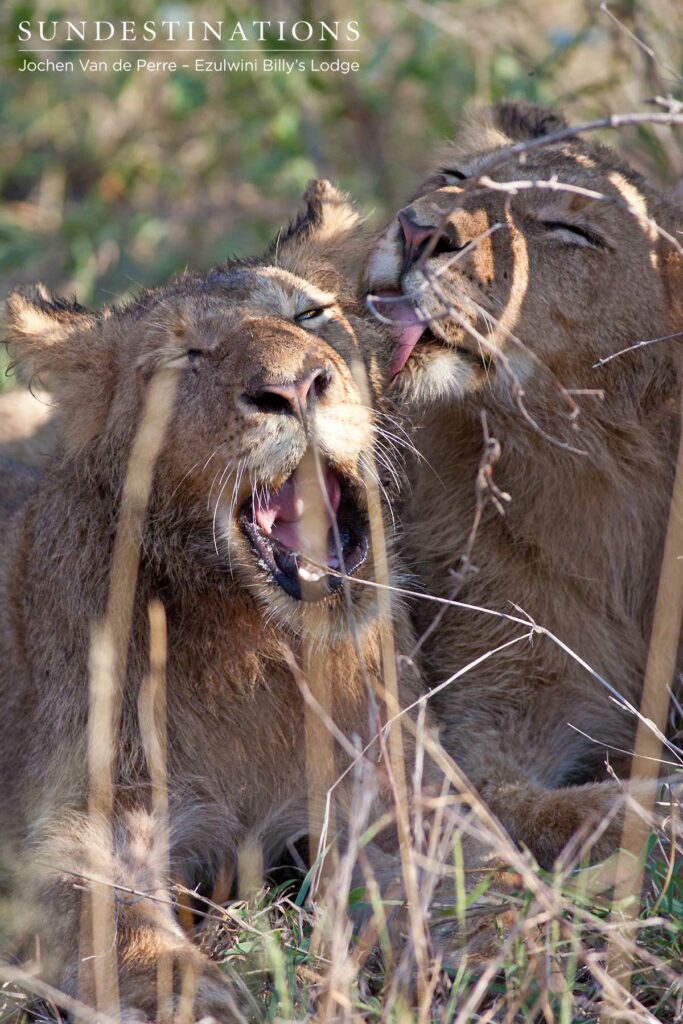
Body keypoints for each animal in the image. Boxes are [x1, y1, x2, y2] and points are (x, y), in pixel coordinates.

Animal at [0, 180, 427, 1021]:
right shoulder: (71, 827)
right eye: (185, 356)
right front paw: (191, 991)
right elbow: (108, 914)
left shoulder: (380, 786)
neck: (250, 643)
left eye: (310, 315)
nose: (294, 387)